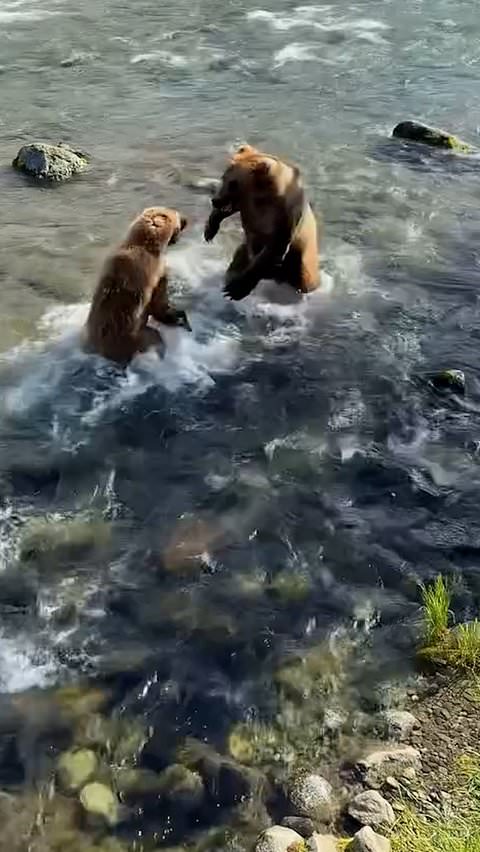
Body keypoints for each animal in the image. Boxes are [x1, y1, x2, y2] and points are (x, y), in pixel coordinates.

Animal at [85, 206, 190, 364]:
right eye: (176, 215)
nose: (186, 220)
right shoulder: (155, 273)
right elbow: (159, 301)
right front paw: (177, 316)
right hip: (136, 337)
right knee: (154, 337)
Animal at [204, 144, 319, 301]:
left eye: (234, 183)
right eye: (224, 177)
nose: (215, 200)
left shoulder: (283, 217)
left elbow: (271, 250)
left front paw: (236, 289)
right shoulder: (248, 205)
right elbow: (230, 209)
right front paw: (210, 229)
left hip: (301, 264)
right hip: (244, 251)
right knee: (236, 263)